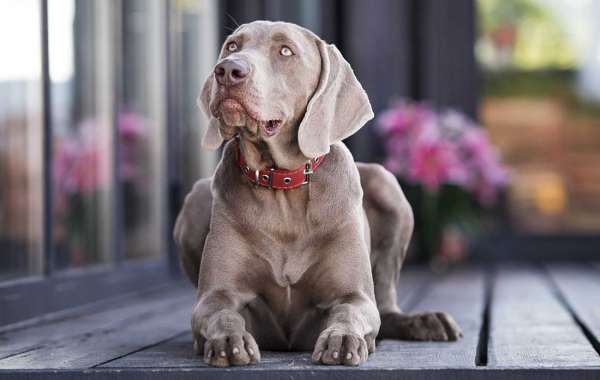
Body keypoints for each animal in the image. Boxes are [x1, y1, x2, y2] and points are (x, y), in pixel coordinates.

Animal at [173, 20, 464, 368]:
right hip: (196, 197)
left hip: (387, 184)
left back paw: (424, 321)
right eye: (232, 46)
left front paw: (341, 340)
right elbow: (221, 313)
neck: (282, 187)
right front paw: (229, 341)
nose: (228, 70)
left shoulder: (354, 296)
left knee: (386, 307)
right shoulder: (214, 296)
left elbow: (351, 313)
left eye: (286, 51)